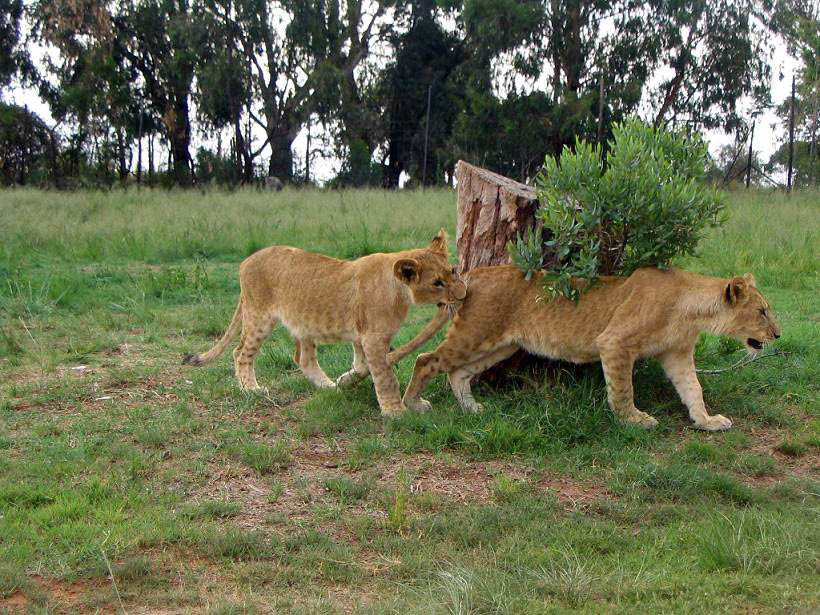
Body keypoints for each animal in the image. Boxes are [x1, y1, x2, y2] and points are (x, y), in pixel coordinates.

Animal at [182, 230, 466, 416]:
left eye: (452, 271)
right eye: (437, 283)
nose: (463, 294)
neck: (400, 292)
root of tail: (246, 260)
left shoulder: (362, 335)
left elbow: (363, 363)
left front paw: (348, 379)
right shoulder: (373, 336)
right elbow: (385, 376)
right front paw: (395, 411)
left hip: (303, 323)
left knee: (303, 359)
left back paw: (330, 387)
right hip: (259, 316)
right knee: (240, 352)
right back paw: (251, 390)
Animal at [402, 265, 780, 431]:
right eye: (762, 311)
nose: (778, 335)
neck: (691, 309)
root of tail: (473, 272)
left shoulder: (676, 354)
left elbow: (693, 389)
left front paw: (706, 421)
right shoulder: (615, 342)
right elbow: (623, 389)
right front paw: (634, 420)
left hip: (500, 345)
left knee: (457, 372)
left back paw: (472, 409)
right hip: (476, 333)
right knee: (426, 360)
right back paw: (411, 405)